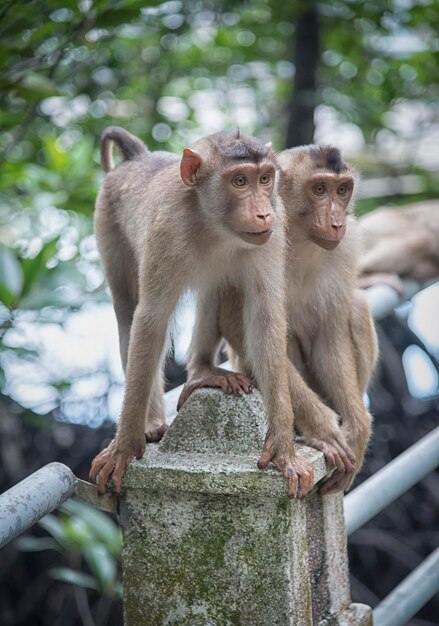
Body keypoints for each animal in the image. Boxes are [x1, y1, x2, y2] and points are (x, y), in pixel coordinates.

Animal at [90, 128, 316, 498]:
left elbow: (266, 320)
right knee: (126, 309)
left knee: (215, 287)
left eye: (265, 179)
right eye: (239, 181)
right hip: (107, 224)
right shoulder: (166, 232)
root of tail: (137, 157)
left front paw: (284, 450)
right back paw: (151, 422)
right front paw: (122, 449)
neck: (215, 226)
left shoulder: (275, 230)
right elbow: (150, 322)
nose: (263, 213)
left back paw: (203, 372)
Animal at [179, 144, 378, 490]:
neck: (298, 236)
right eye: (319, 189)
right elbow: (240, 325)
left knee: (355, 307)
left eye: (342, 190)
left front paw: (358, 428)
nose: (337, 221)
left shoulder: (346, 247)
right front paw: (324, 429)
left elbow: (330, 335)